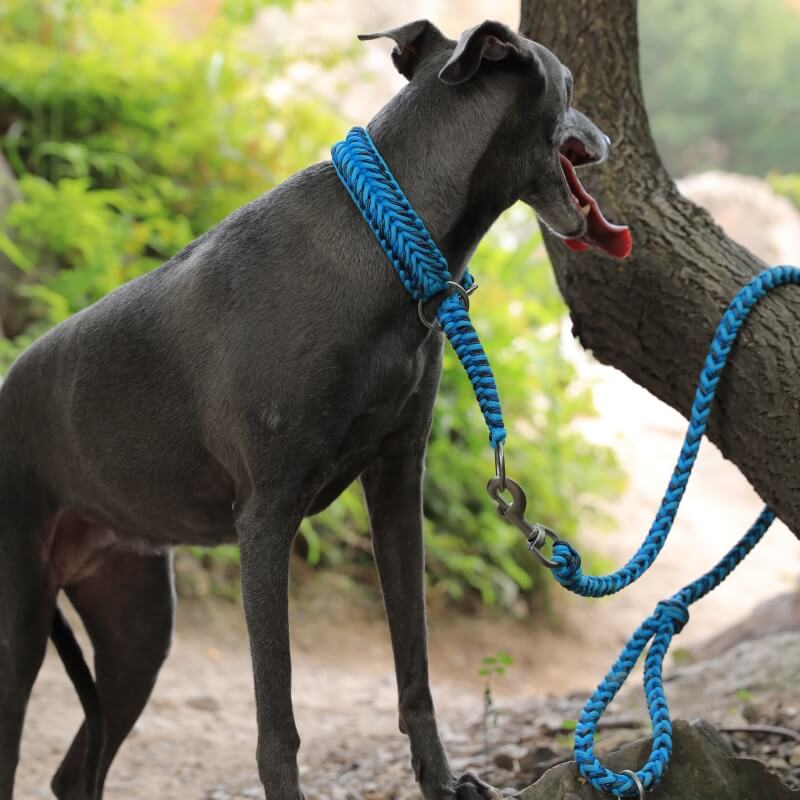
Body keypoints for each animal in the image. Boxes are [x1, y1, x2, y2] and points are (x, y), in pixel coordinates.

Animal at [0, 17, 624, 800]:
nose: (610, 138)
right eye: (569, 82)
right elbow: (278, 725)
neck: (385, 238)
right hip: (22, 617)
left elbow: (414, 666)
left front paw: (443, 782)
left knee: (72, 770)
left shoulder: (397, 483)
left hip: (135, 629)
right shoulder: (266, 520)